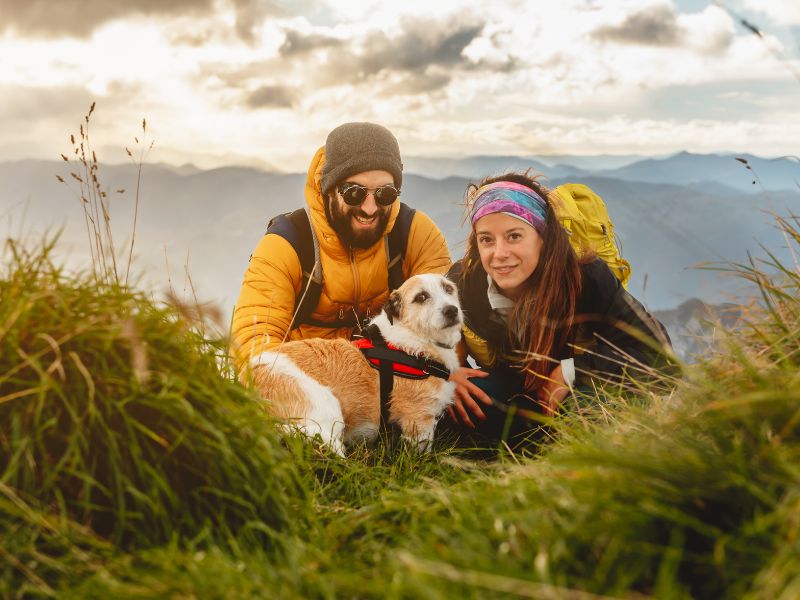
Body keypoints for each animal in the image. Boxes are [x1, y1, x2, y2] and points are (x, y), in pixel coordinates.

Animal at [250, 274, 462, 454]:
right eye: (421, 297)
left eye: (449, 288)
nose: (452, 310)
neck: (414, 339)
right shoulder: (418, 421)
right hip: (324, 410)